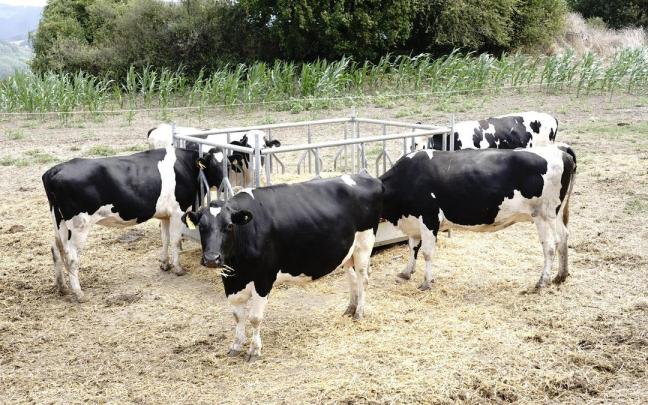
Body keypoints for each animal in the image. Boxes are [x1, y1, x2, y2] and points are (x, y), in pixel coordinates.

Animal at [42, 146, 226, 302]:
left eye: (227, 163)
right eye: (213, 164)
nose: (224, 186)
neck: (186, 165)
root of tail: (54, 170)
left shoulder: (165, 215)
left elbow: (164, 239)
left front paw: (164, 264)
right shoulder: (177, 211)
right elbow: (175, 240)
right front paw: (178, 268)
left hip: (59, 222)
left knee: (56, 248)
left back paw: (62, 287)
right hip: (79, 225)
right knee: (71, 258)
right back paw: (79, 293)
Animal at [182, 173, 383, 361]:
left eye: (229, 225)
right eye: (201, 227)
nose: (211, 258)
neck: (238, 271)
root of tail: (366, 177)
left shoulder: (263, 279)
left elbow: (255, 318)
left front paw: (254, 350)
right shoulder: (231, 282)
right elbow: (238, 316)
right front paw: (236, 345)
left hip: (364, 243)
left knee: (363, 279)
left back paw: (359, 312)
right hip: (348, 251)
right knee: (352, 278)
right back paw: (350, 309)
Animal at [380, 145, 576, 291]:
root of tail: (561, 150)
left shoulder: (429, 218)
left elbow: (427, 253)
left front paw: (426, 282)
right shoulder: (413, 222)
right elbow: (413, 248)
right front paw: (406, 272)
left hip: (544, 215)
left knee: (550, 245)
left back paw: (542, 281)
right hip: (556, 214)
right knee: (564, 236)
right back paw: (561, 276)